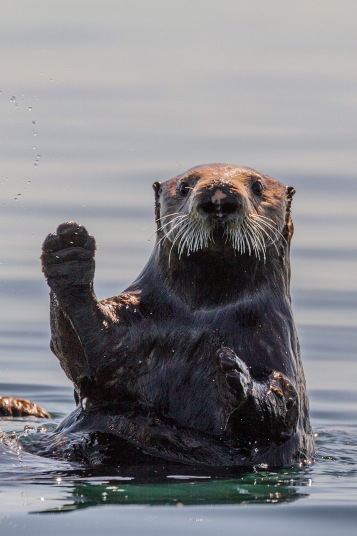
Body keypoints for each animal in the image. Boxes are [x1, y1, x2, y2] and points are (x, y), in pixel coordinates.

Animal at [37, 164, 312, 468]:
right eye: (184, 187)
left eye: (258, 187)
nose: (219, 196)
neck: (206, 310)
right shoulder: (136, 319)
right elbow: (94, 361)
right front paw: (68, 250)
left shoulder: (272, 335)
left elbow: (282, 408)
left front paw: (237, 373)